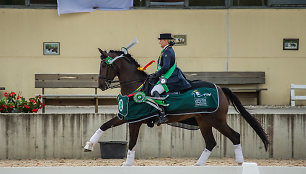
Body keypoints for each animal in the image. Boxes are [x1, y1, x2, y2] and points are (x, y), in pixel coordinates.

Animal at [83, 48, 268, 166]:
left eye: (105, 65)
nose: (101, 85)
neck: (135, 87)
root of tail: (221, 88)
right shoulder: (127, 116)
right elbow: (106, 126)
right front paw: (89, 146)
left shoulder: (134, 120)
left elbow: (129, 140)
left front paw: (126, 163)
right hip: (204, 121)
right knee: (211, 142)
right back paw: (198, 165)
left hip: (217, 120)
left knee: (235, 136)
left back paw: (240, 162)